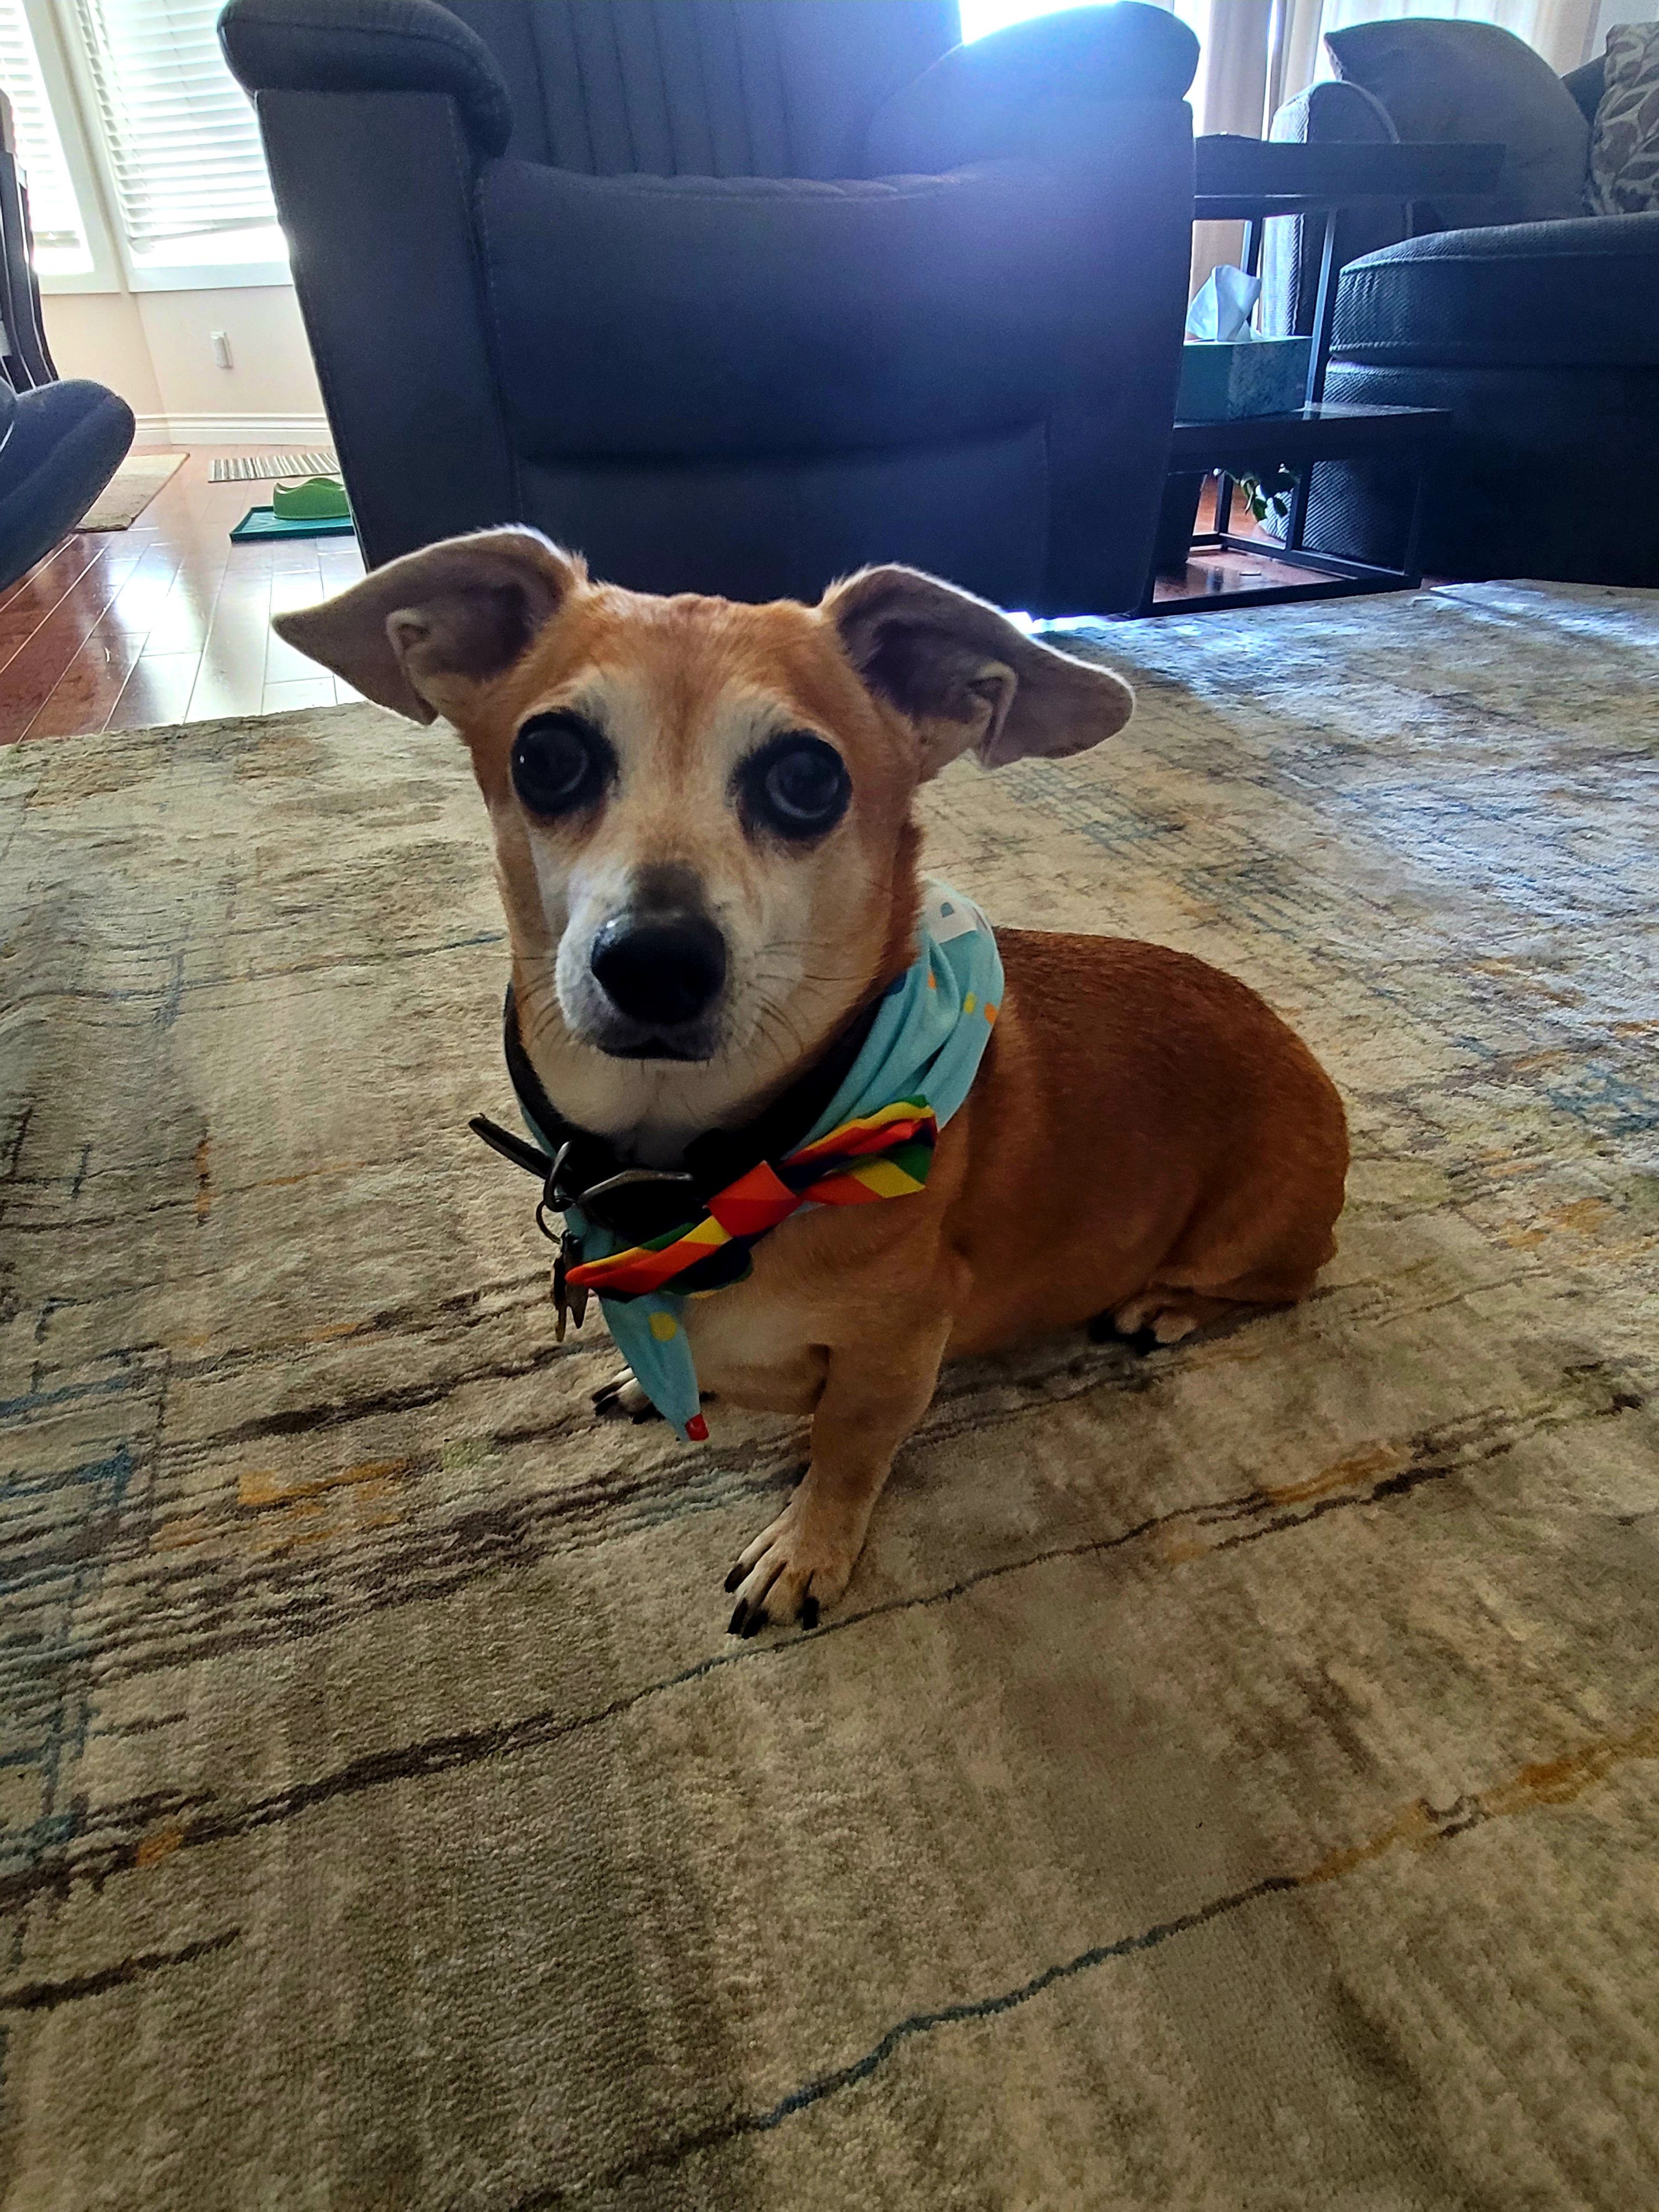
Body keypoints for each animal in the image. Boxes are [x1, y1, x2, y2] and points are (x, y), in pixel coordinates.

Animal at [276, 531, 1348, 1635]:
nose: (655, 960)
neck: (704, 1179)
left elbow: (845, 1452)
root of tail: (1298, 1047)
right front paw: (653, 1384)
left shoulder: (892, 1360)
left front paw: (807, 1547)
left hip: (1247, 1240)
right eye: (546, 758)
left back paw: (1166, 1308)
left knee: (1286, 1280)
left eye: (806, 778)